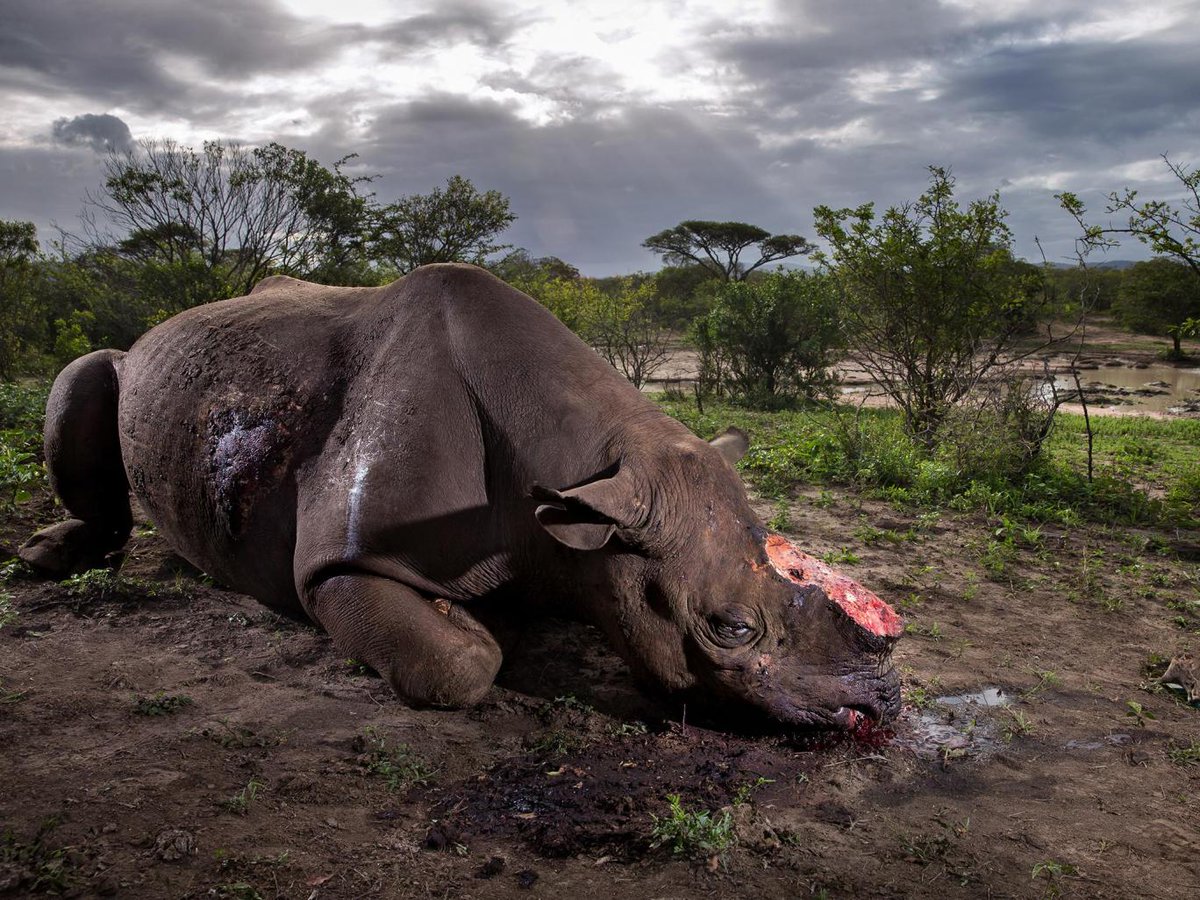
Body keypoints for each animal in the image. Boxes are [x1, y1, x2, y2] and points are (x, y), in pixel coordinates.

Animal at [20, 264, 901, 729]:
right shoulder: (340, 564)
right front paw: (477, 628)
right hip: (136, 366)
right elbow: (458, 663)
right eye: (730, 629)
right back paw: (47, 558)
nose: (880, 706)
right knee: (85, 372)